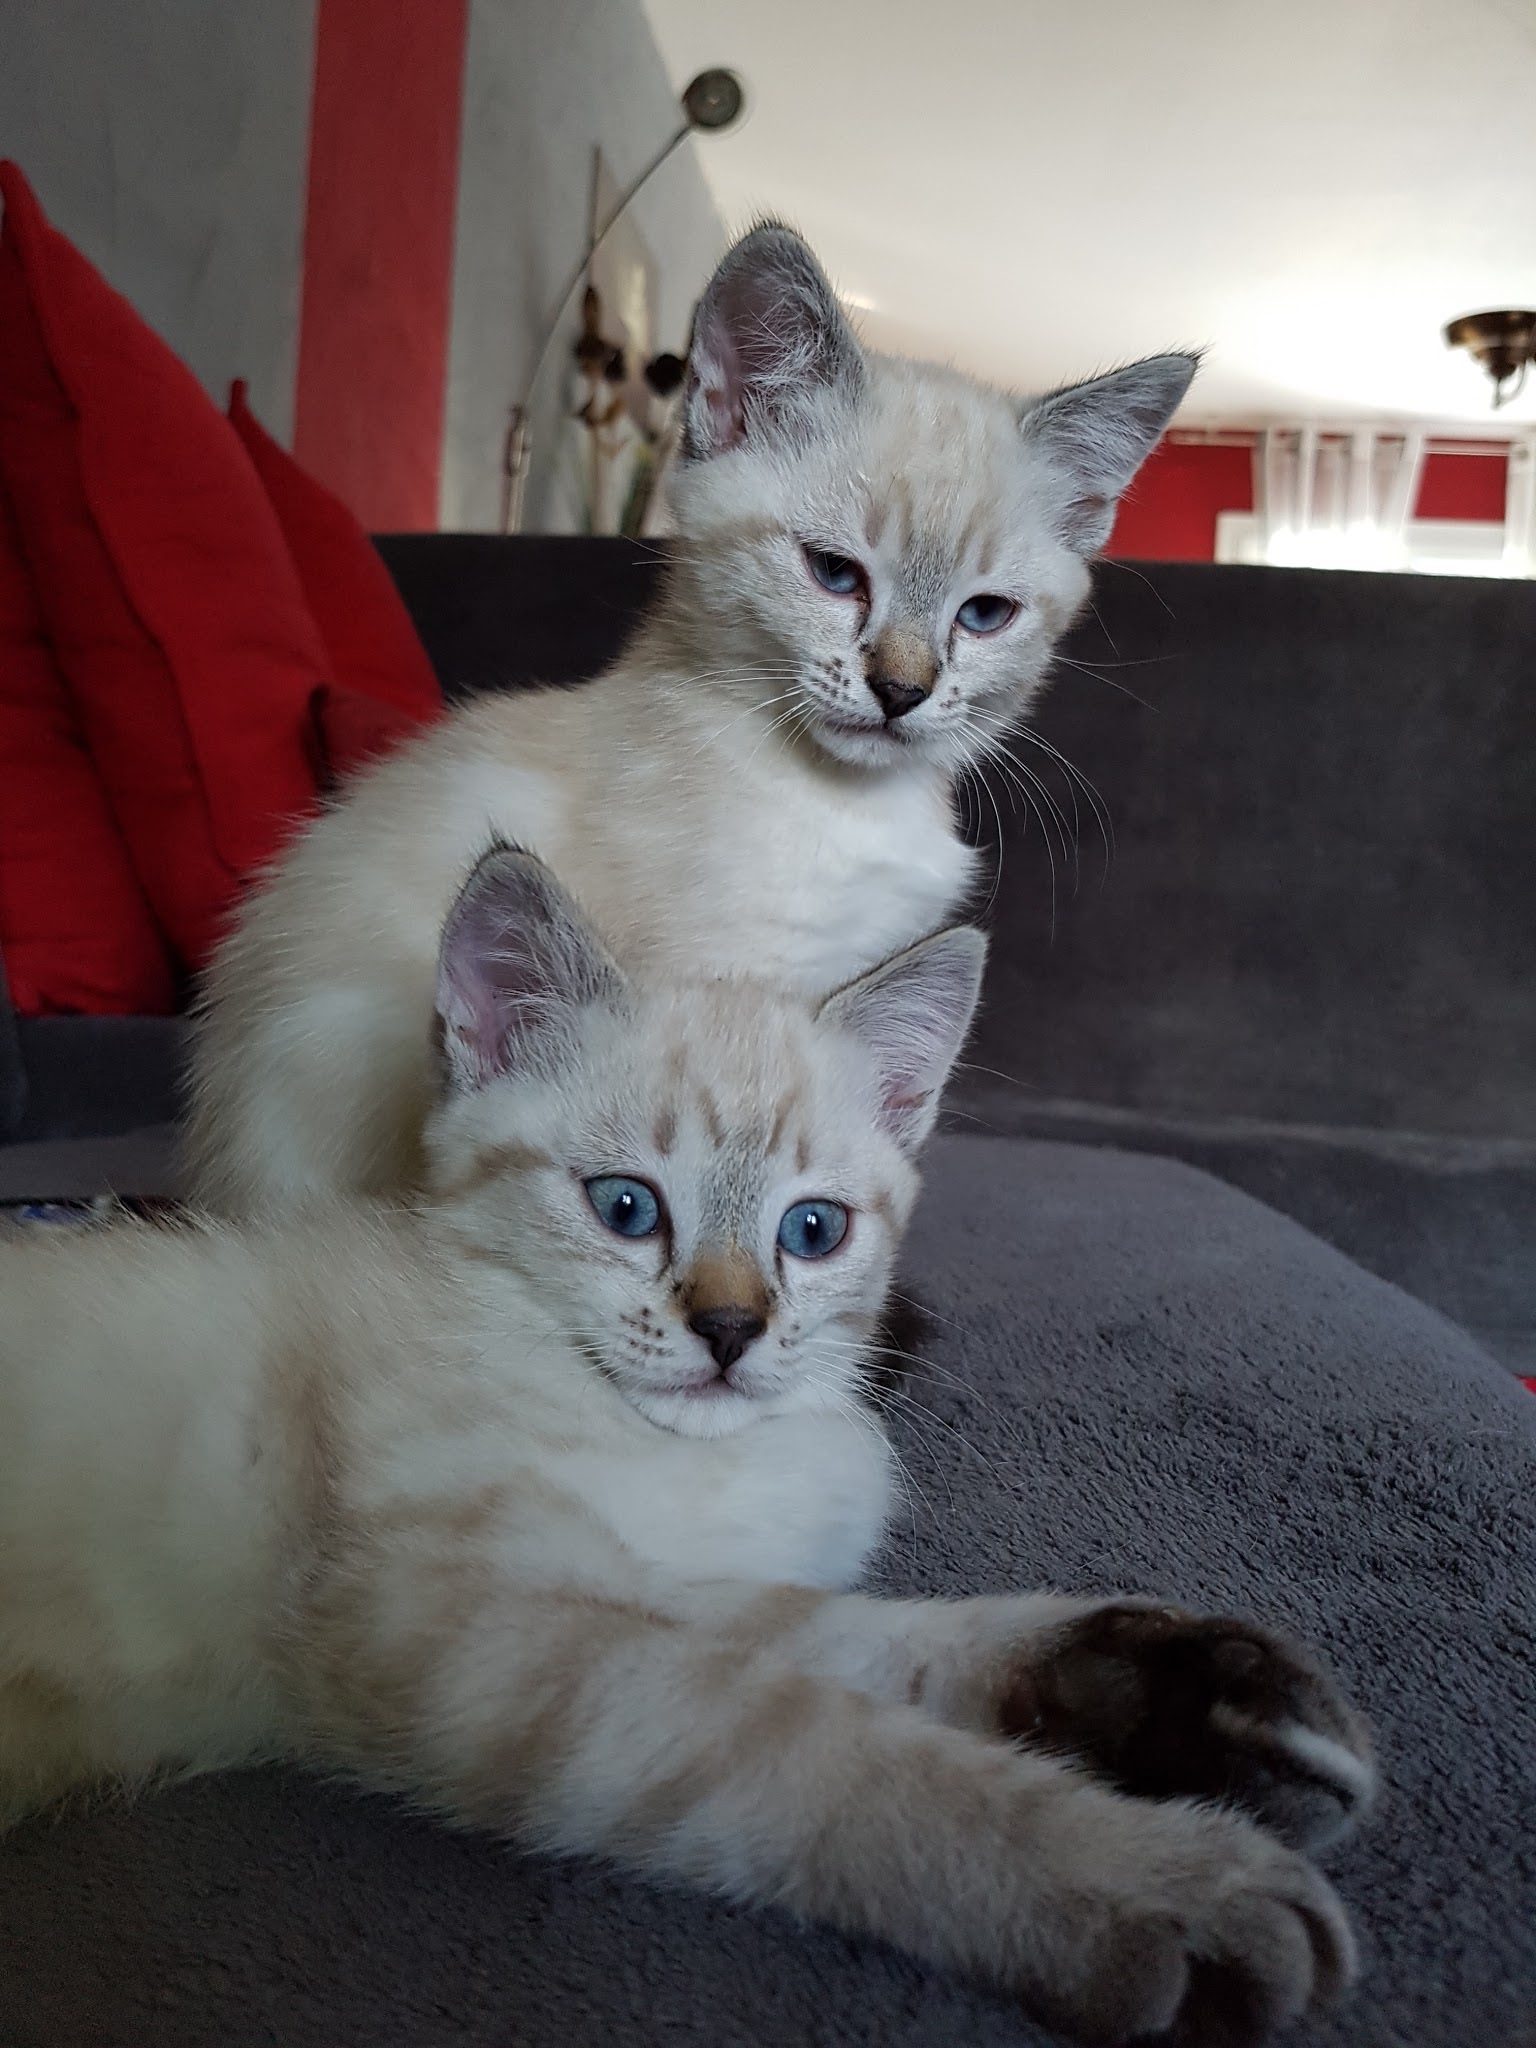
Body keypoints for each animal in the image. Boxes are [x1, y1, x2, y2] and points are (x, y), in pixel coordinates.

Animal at [3, 848, 1374, 2045]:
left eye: (812, 1230)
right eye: (626, 1207)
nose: (729, 1328)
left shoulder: (640, 1575)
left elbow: (867, 1639)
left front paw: (1167, 1690)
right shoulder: (439, 1617)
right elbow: (810, 1733)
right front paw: (1144, 1875)